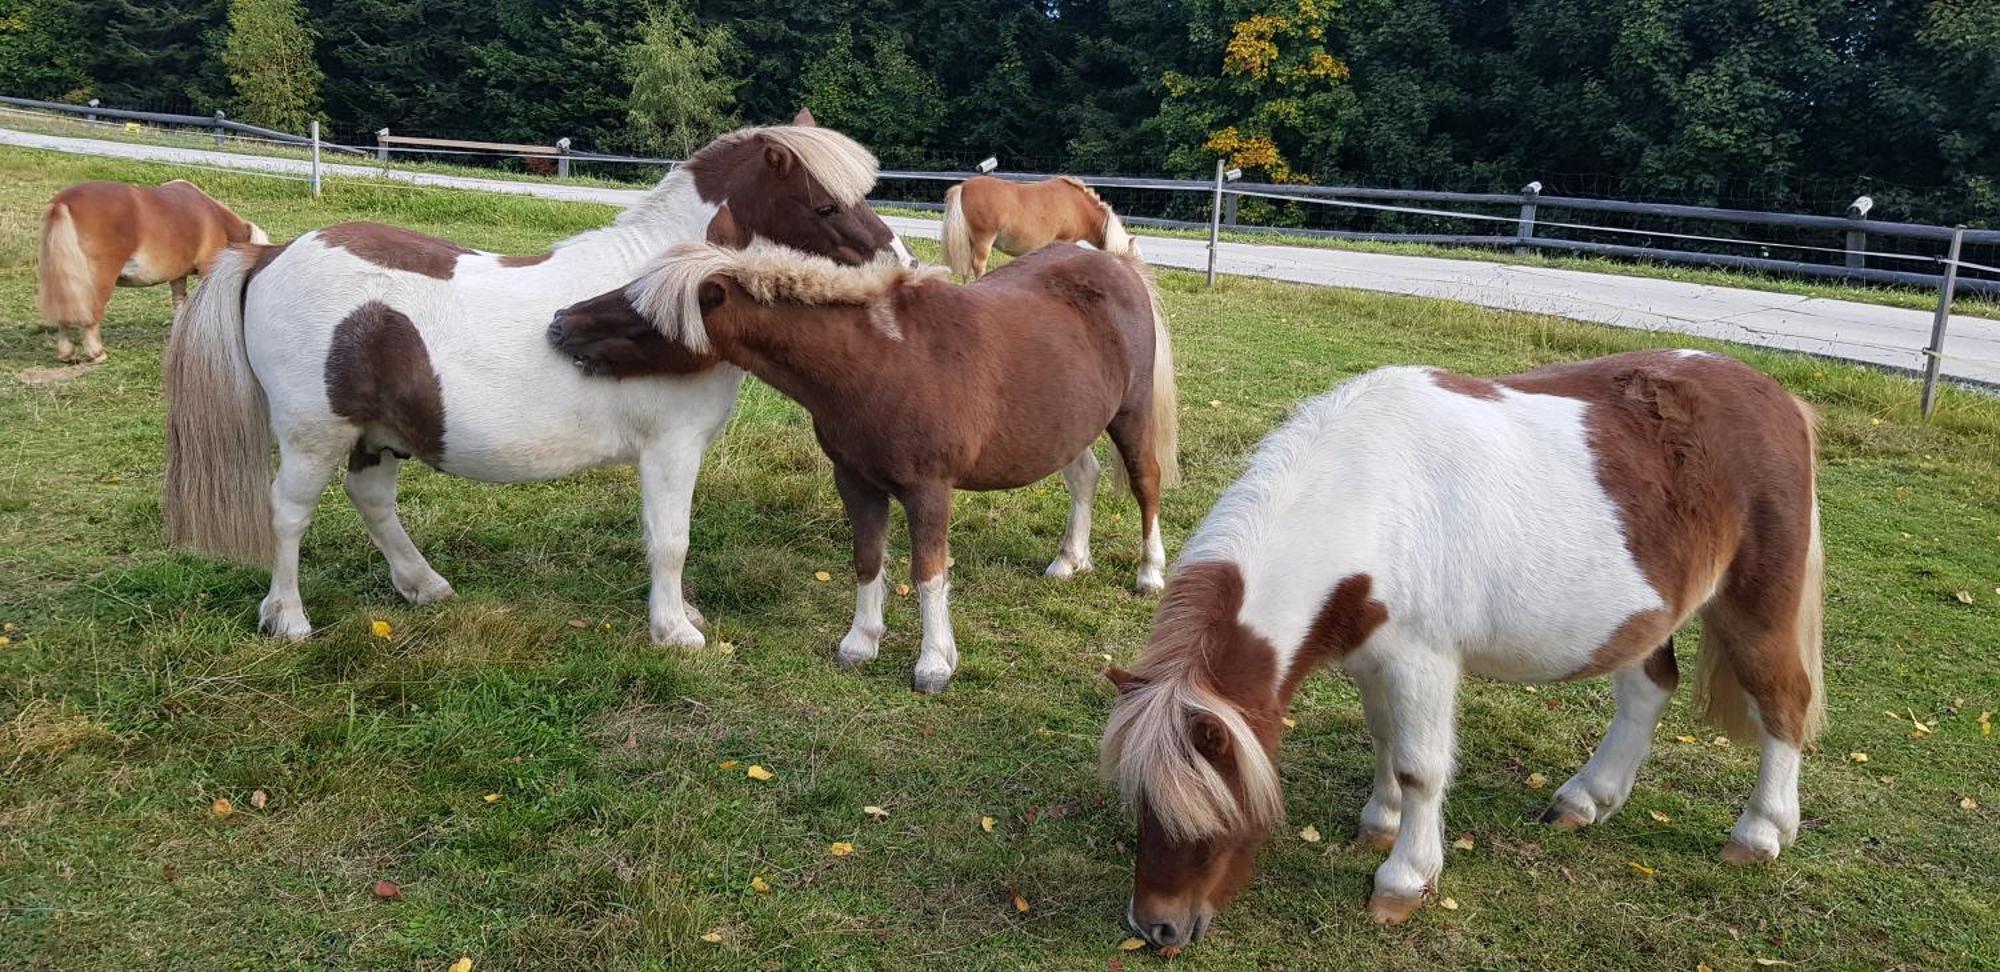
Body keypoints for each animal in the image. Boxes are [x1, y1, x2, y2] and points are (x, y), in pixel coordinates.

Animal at [35, 177, 268, 362]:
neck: (215, 218)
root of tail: (63, 203)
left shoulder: (178, 276)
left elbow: (181, 304)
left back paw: (66, 353)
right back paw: (97, 353)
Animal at [166, 114, 916, 640]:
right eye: (825, 206)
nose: (903, 266)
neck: (660, 285)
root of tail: (269, 256)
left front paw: (682, 618)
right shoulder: (670, 449)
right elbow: (671, 540)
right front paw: (676, 631)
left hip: (375, 433)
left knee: (372, 499)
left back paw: (425, 586)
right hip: (314, 435)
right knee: (288, 513)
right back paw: (289, 619)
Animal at [548, 234, 1176, 692]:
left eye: (644, 315)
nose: (559, 323)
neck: (882, 361)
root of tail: (1117, 264)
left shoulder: (929, 489)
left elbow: (928, 573)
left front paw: (934, 664)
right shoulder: (854, 481)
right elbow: (868, 559)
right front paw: (861, 642)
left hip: (1131, 414)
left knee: (1146, 482)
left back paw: (1149, 575)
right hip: (1068, 429)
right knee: (1085, 478)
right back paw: (1069, 560)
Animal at [1104, 352, 1824, 948]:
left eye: (1209, 812)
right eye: (1139, 802)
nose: (1155, 927)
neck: (1370, 499)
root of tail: (1780, 399)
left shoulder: (1422, 662)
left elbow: (1421, 766)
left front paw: (1403, 881)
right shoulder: (1371, 655)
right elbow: (1384, 736)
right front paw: (1380, 821)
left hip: (1756, 606)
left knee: (1784, 700)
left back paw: (1760, 832)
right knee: (1647, 692)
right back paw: (1587, 800)